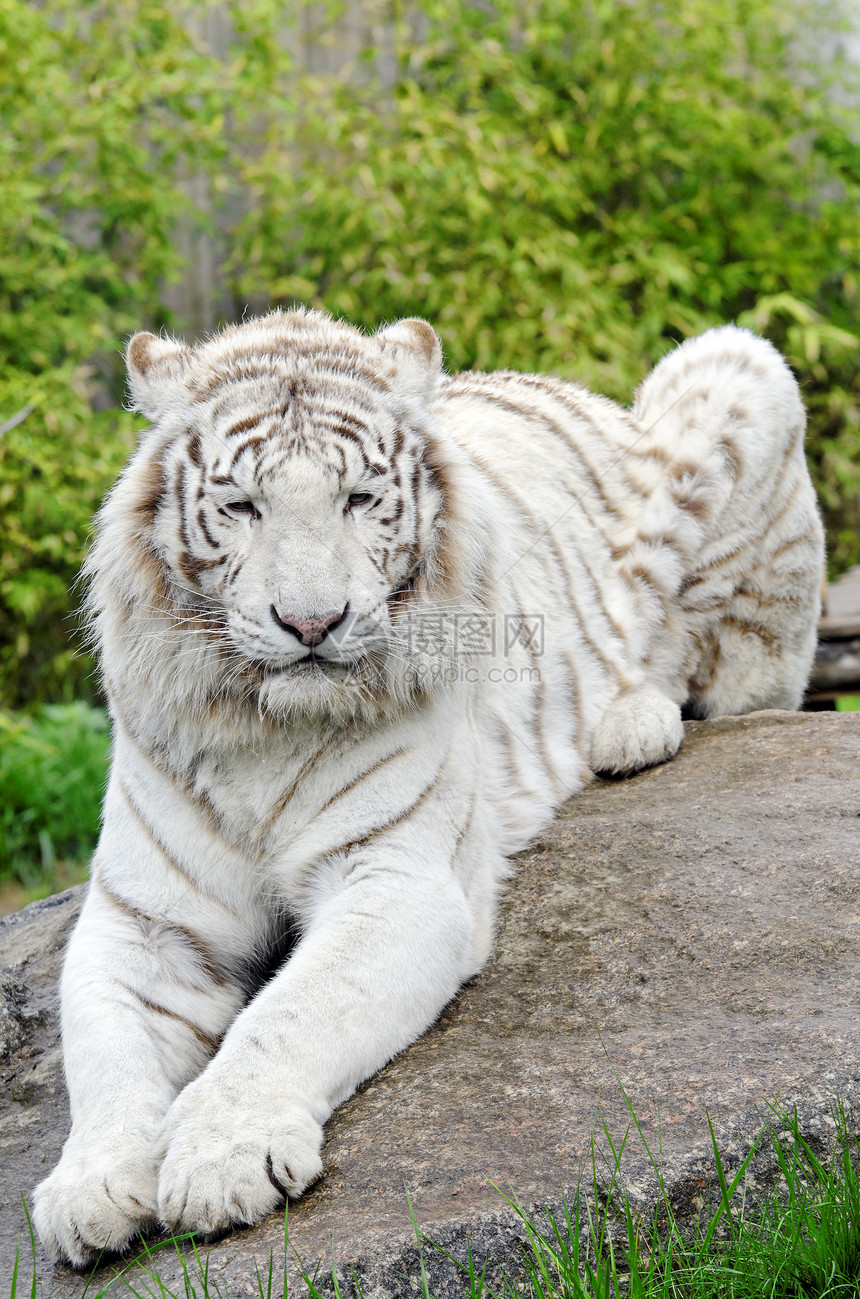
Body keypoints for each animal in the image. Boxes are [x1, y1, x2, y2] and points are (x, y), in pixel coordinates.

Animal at [33, 309, 826, 1262]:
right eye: (242, 507)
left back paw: (633, 723)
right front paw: (89, 1187)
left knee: (718, 678)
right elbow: (104, 1047)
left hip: (740, 373)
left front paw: (222, 1158)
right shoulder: (145, 918)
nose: (311, 623)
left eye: (358, 499)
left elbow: (285, 1017)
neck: (268, 725)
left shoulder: (397, 878)